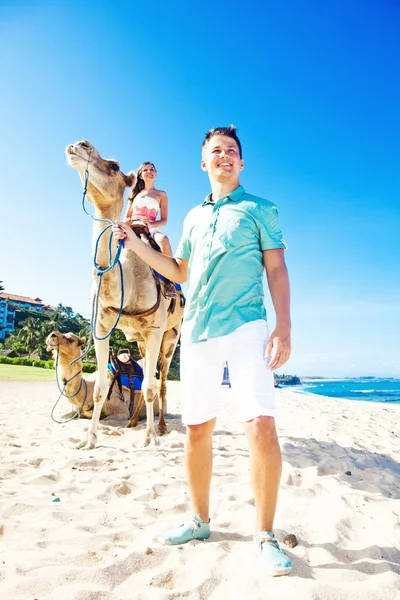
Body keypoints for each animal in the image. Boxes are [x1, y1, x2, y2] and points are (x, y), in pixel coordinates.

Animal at [66, 142, 184, 450]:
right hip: (141, 342)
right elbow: (101, 387)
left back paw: (161, 428)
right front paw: (88, 440)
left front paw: (150, 438)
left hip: (171, 338)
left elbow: (151, 387)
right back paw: (131, 423)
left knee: (162, 381)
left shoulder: (155, 329)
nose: (80, 145)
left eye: (114, 166)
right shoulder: (101, 326)